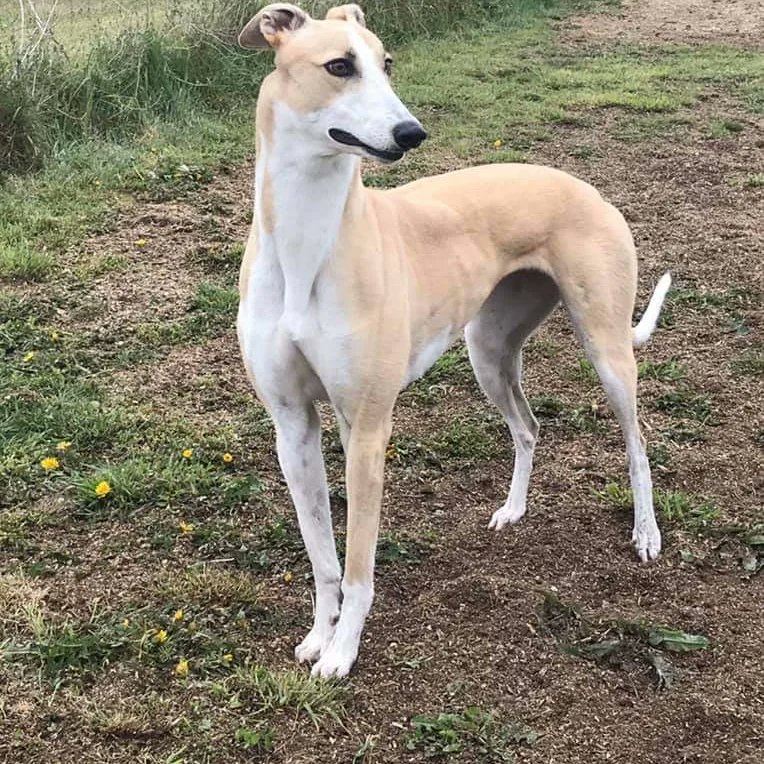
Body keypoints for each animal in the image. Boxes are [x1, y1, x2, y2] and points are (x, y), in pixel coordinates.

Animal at [236, 4, 672, 676]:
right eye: (339, 66)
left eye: (387, 63)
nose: (411, 132)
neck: (308, 246)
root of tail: (585, 187)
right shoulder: (292, 425)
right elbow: (323, 555)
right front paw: (318, 634)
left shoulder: (366, 429)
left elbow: (359, 564)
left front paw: (342, 652)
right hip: (487, 350)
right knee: (528, 428)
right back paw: (513, 509)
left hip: (606, 350)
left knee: (637, 445)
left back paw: (647, 533)